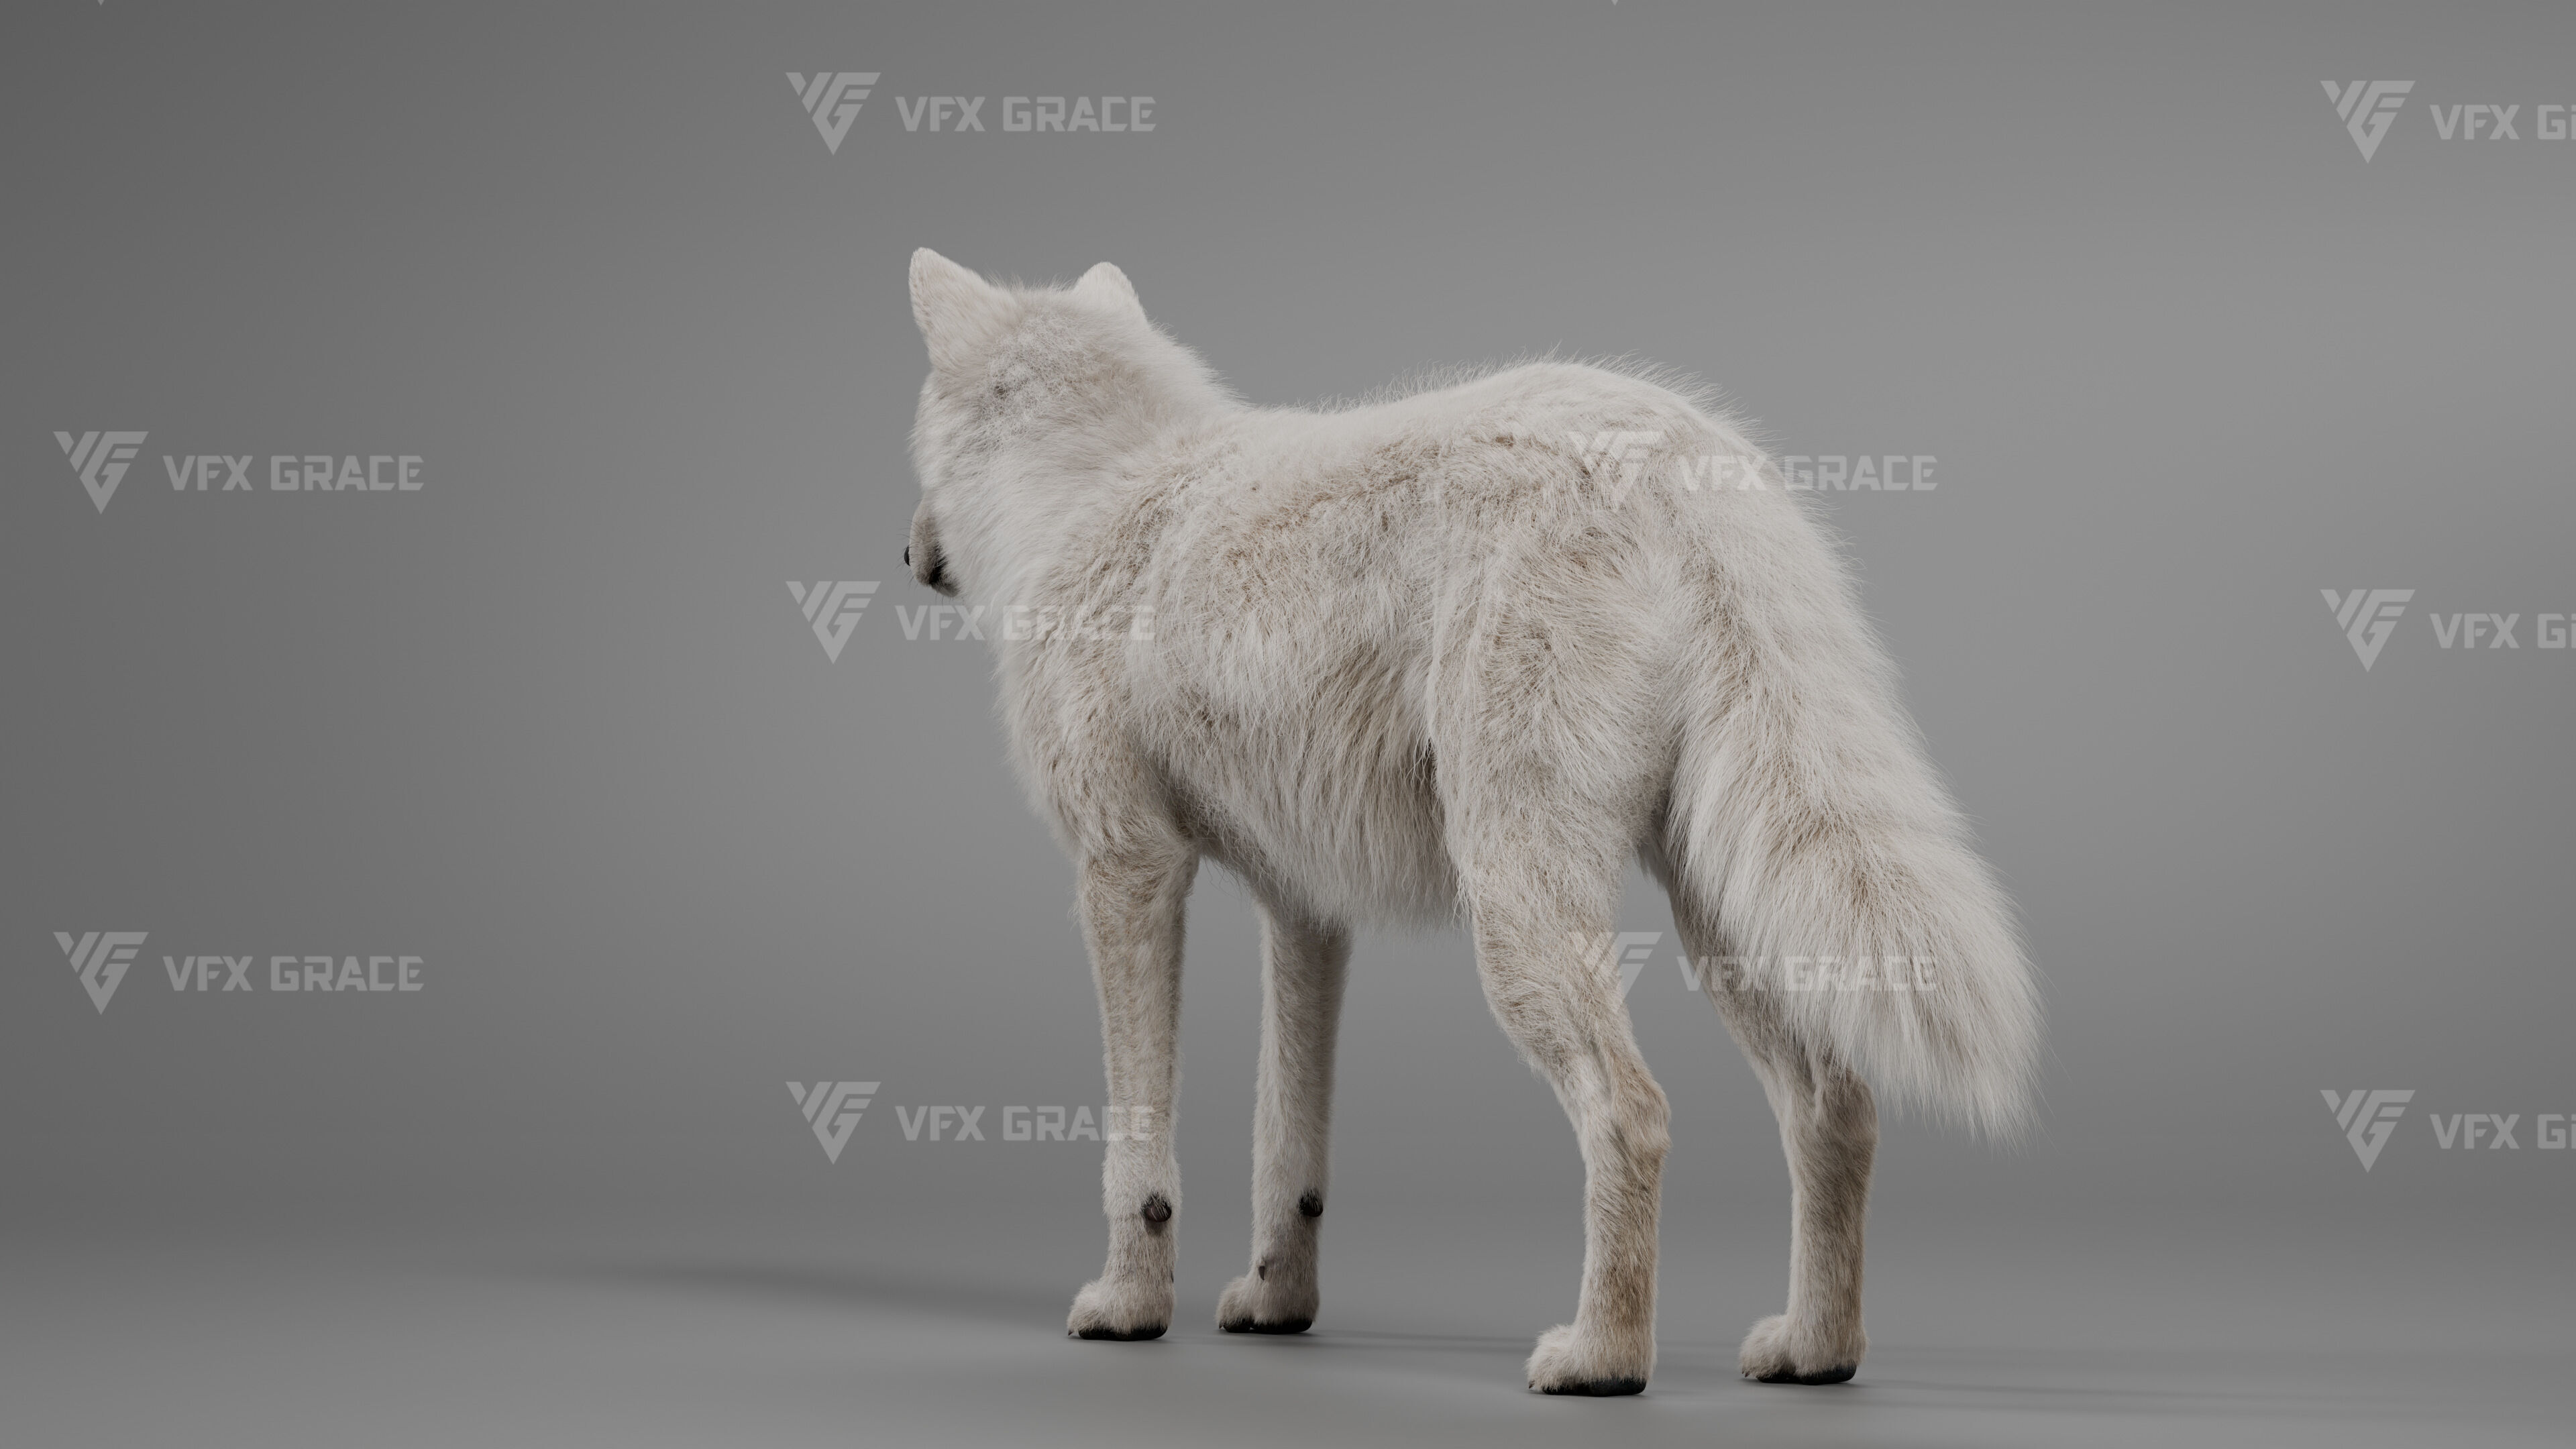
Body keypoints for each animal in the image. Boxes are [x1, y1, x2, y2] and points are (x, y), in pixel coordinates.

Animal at [899, 249, 2039, 1394]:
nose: (905, 554)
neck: (1094, 489)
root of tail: (1682, 457)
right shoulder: (1305, 909)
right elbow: (1286, 1143)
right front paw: (1276, 1304)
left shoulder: (1127, 871)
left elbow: (1138, 1145)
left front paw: (1128, 1307)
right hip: (1718, 924)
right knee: (1836, 1109)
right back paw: (1813, 1351)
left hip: (1518, 912)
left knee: (1633, 1113)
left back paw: (1601, 1359)